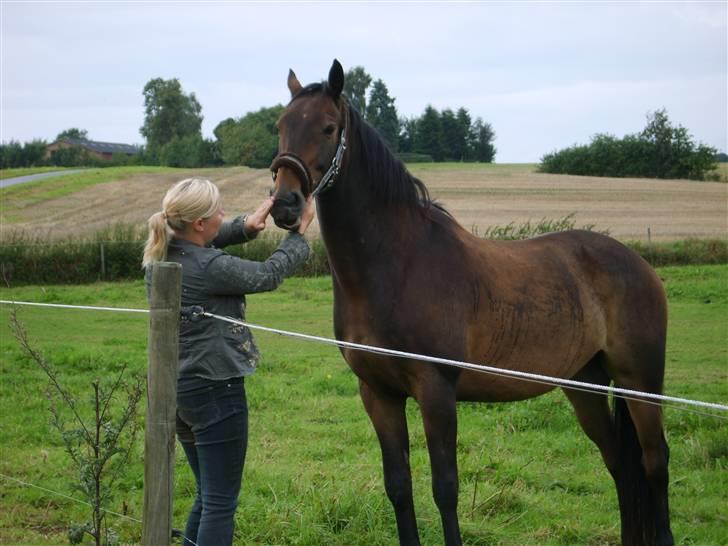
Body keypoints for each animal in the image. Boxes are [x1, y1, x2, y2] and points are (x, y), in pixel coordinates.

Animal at [270, 59, 672, 544]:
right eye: (280, 126)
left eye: (328, 127)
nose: (285, 203)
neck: (397, 263)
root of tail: (639, 264)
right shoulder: (379, 394)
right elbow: (398, 487)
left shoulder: (436, 390)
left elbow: (445, 488)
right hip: (585, 384)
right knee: (619, 464)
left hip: (639, 381)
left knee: (655, 464)